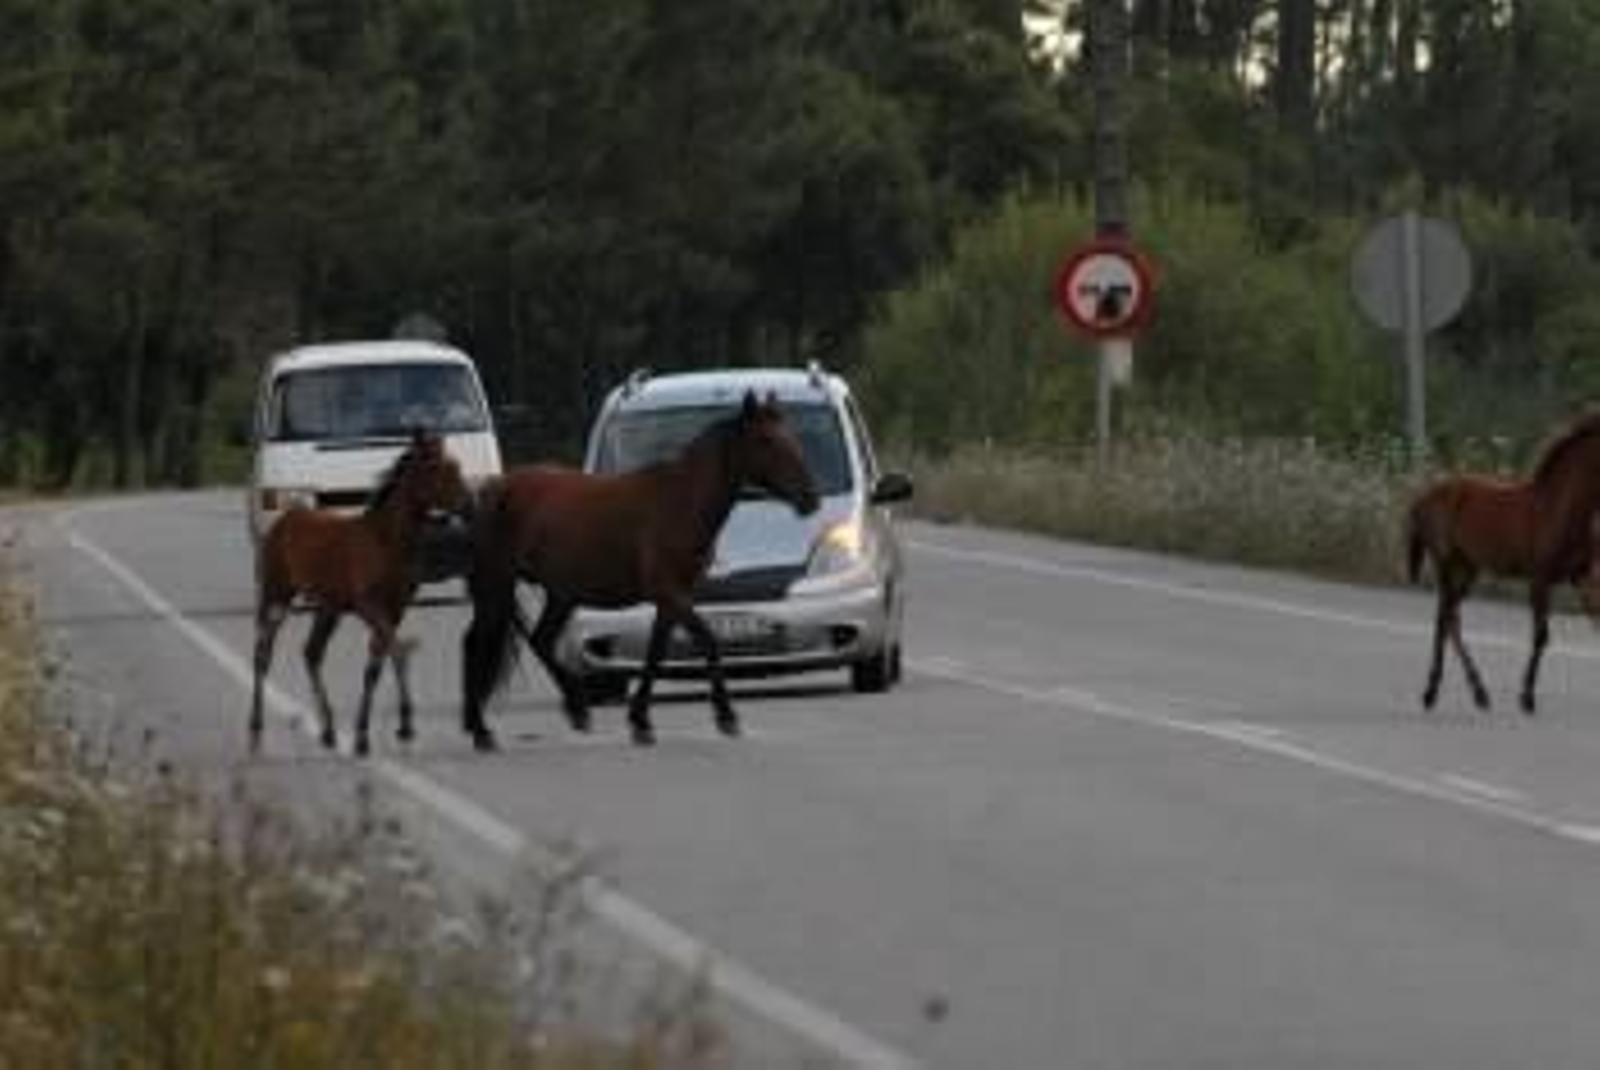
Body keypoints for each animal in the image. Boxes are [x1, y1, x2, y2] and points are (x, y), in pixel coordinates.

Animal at [250, 429, 471, 756]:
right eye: (437, 469)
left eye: (456, 465)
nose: (470, 504)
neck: (386, 541)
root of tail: (283, 521)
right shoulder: (368, 605)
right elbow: (397, 651)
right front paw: (398, 727)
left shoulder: (396, 607)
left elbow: (377, 663)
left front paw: (369, 732)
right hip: (276, 595)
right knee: (263, 653)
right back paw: (255, 728)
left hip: (327, 608)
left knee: (312, 653)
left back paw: (329, 730)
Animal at [461, 390, 820, 751]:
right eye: (765, 440)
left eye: (791, 437)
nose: (810, 498)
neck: (680, 501)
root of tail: (495, 490)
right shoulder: (669, 591)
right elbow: (707, 641)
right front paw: (726, 716)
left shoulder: (673, 598)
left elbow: (655, 654)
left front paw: (641, 721)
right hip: (497, 585)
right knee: (476, 643)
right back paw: (481, 730)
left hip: (559, 595)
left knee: (540, 641)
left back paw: (576, 710)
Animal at [1404, 412, 1600, 714]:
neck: (1560, 508)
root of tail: (1422, 497)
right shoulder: (1539, 579)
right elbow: (1541, 636)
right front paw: (1527, 697)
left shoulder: (1583, 576)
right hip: (1446, 562)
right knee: (1446, 619)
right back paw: (1437, 693)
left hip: (1468, 568)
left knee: (1449, 619)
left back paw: (1475, 693)